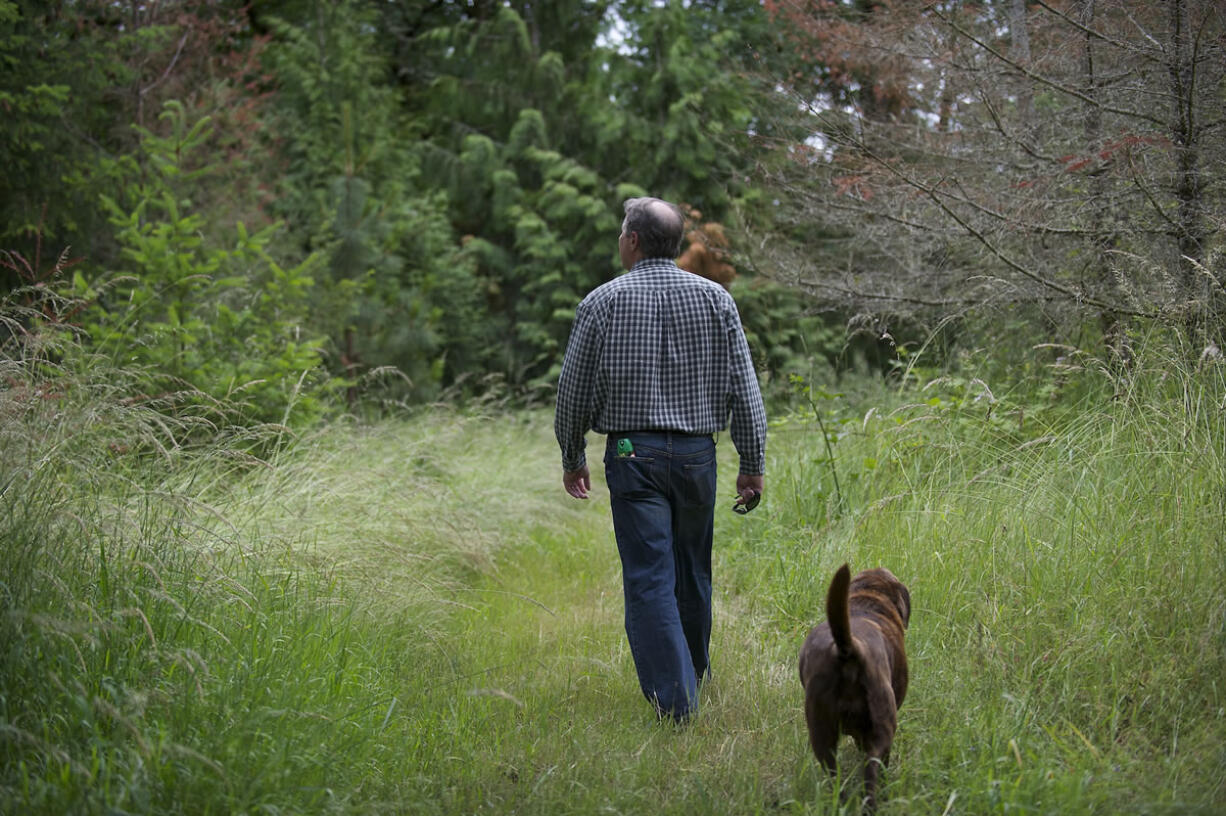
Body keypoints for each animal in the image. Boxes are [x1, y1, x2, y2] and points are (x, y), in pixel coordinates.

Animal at [794, 563, 912, 808]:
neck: (866, 605)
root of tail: (846, 650)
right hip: (883, 726)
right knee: (872, 771)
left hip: (821, 734)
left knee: (834, 774)